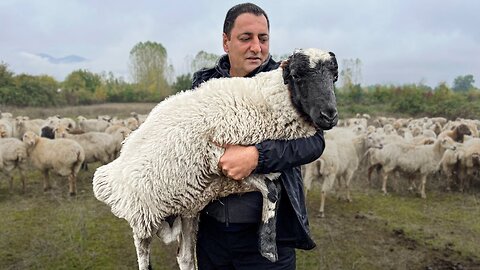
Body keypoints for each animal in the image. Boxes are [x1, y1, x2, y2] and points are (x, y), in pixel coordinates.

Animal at [93, 48, 338, 270]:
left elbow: (273, 191)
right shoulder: (220, 158)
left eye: (334, 76)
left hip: (187, 209)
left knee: (185, 257)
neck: (265, 101)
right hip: (142, 213)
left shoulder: (235, 173)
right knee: (143, 255)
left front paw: (266, 244)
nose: (329, 115)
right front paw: (268, 247)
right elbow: (272, 190)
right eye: (297, 75)